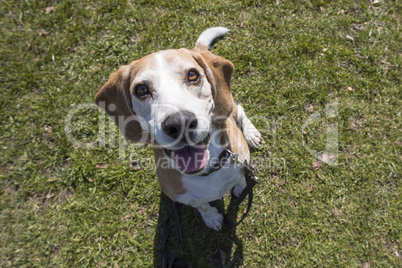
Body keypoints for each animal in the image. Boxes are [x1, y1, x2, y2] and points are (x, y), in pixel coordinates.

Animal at [96, 27, 262, 230]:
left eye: (193, 75)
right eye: (141, 89)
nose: (180, 123)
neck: (206, 172)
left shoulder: (242, 163)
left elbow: (240, 179)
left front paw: (240, 187)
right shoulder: (183, 197)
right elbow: (202, 206)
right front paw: (212, 218)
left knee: (238, 108)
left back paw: (251, 134)